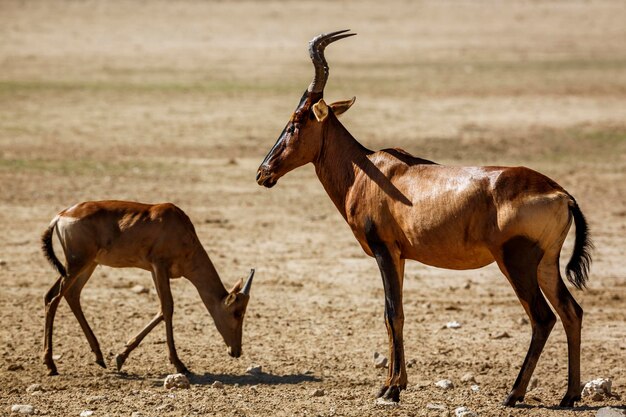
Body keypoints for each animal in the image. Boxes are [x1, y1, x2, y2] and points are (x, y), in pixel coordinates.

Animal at [40, 200, 254, 376]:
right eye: (237, 312)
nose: (236, 351)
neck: (177, 224)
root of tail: (61, 215)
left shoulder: (153, 270)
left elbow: (161, 309)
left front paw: (121, 357)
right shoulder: (160, 266)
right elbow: (168, 308)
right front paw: (180, 365)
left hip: (86, 264)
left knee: (68, 295)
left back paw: (99, 357)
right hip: (76, 264)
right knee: (54, 299)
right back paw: (51, 365)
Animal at [254, 30, 588, 406]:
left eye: (296, 122)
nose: (263, 173)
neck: (368, 170)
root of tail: (561, 193)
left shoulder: (383, 250)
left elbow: (392, 312)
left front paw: (390, 389)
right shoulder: (400, 255)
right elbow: (394, 315)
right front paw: (393, 384)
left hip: (516, 262)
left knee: (543, 318)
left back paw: (514, 394)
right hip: (546, 263)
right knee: (571, 311)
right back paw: (569, 396)